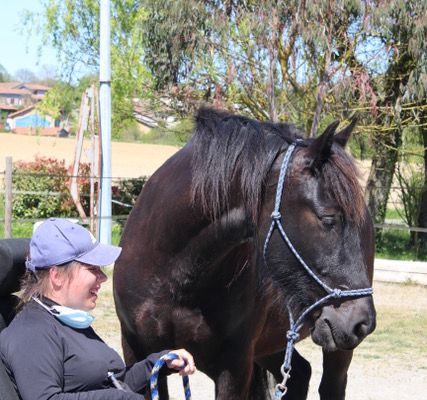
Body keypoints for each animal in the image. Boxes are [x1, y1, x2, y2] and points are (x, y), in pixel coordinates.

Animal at [114, 108, 378, 398]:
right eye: (328, 218)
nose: (363, 322)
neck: (174, 275)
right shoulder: (139, 353)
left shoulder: (235, 365)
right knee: (299, 374)